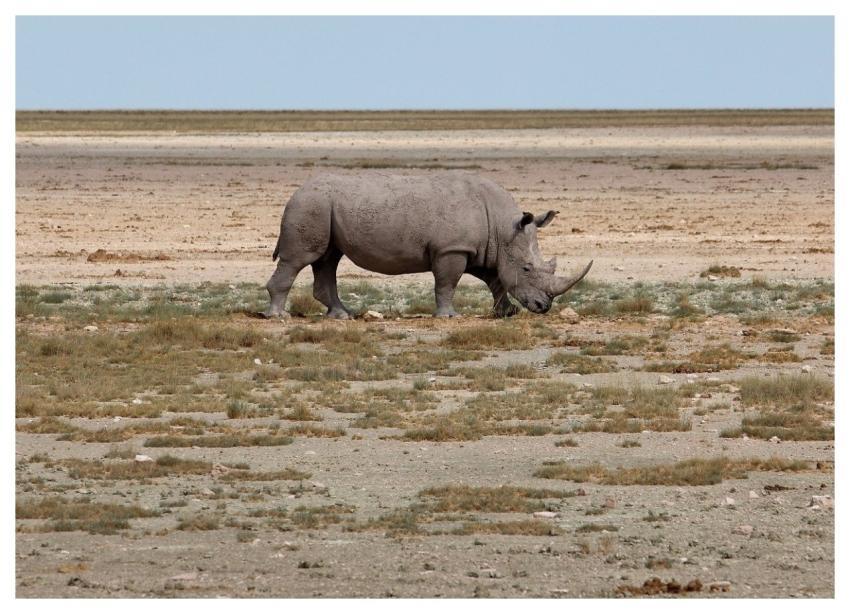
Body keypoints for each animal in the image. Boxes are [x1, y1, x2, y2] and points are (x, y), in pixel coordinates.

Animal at [262, 171, 592, 319]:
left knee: (328, 259)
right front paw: (449, 317)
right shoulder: (452, 249)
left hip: (322, 208)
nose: (544, 307)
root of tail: (295, 192)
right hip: (311, 205)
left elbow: (495, 280)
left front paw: (506, 313)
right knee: (301, 258)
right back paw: (279, 317)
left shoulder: (478, 248)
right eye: (526, 268)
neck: (503, 227)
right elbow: (447, 283)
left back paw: (343, 316)